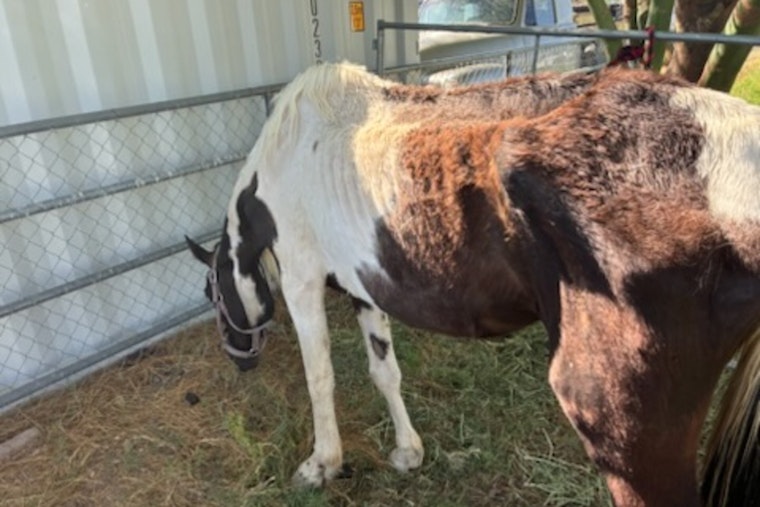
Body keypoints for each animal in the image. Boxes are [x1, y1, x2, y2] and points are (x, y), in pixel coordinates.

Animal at [186, 62, 760, 506]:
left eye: (213, 295)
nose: (239, 360)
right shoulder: (364, 290)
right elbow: (385, 372)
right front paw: (407, 451)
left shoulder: (303, 279)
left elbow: (319, 378)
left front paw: (320, 465)